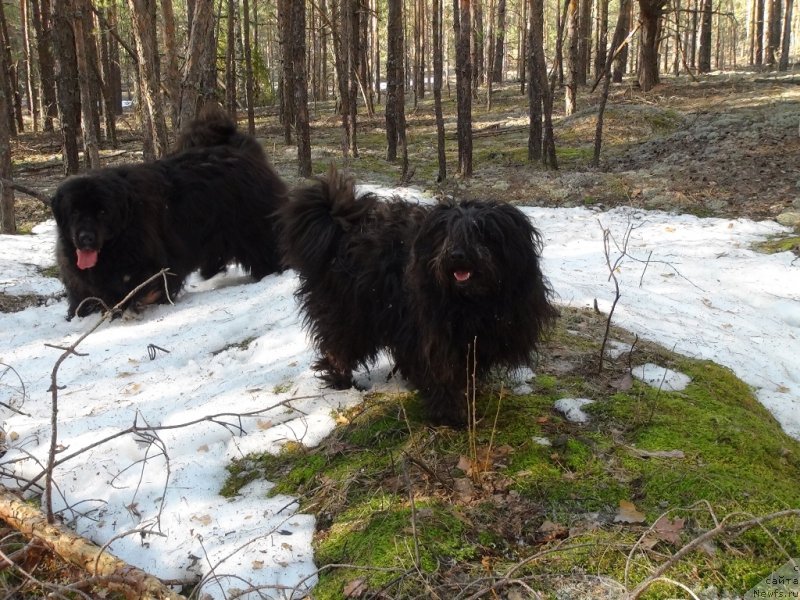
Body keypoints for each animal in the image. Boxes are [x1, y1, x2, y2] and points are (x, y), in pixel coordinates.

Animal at [51, 106, 288, 318]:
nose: (86, 238)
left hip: (254, 227)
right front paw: (80, 312)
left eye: (102, 212)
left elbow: (142, 286)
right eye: (74, 212)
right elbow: (84, 296)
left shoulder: (149, 262)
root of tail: (241, 149)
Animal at [282, 166, 556, 424]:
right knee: (339, 345)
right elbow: (442, 371)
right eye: (446, 234)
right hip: (349, 310)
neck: (473, 301)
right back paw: (341, 380)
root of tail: (342, 228)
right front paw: (450, 412)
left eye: (481, 233)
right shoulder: (434, 333)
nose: (456, 255)